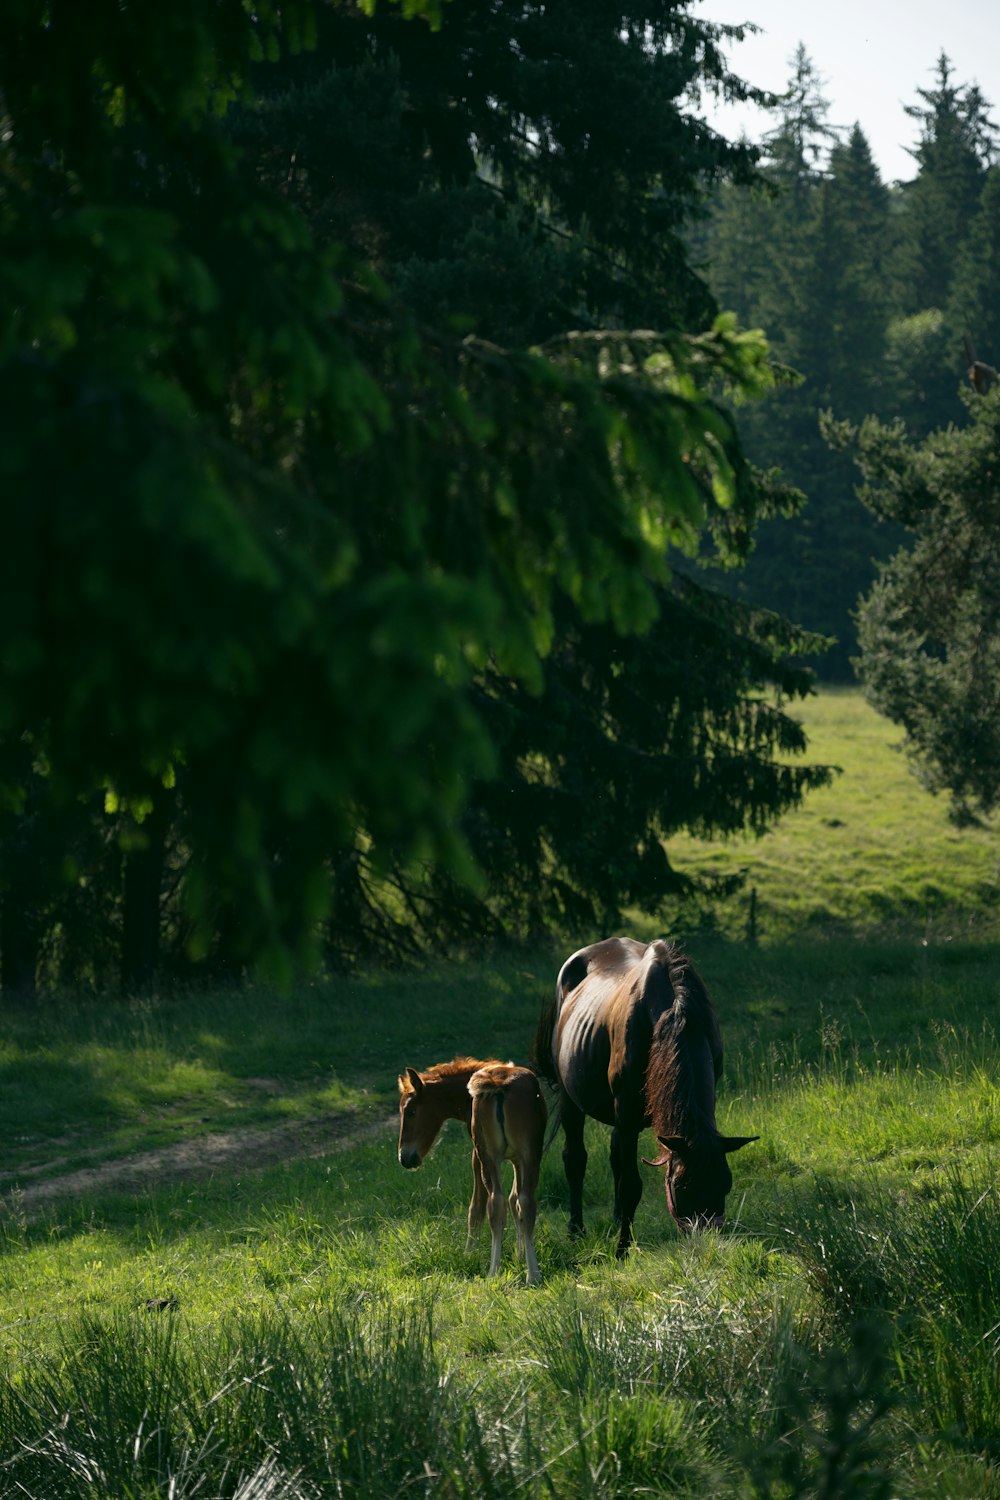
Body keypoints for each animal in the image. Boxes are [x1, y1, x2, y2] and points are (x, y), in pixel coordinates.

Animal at [395, 1056, 548, 1290]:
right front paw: (518, 1256)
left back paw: (501, 1272)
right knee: (519, 1202)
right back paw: (530, 1274)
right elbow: (512, 1201)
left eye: (410, 1111)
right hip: (526, 1155)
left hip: (495, 1156)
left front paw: (469, 1254)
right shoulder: (516, 1159)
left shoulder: (478, 1155)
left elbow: (478, 1207)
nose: (405, 1158)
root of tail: (497, 1084)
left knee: (498, 1203)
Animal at [536, 936, 755, 1254]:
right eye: (681, 1187)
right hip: (570, 1100)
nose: (705, 1240)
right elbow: (630, 1185)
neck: (673, 1016)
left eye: (725, 1184)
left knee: (614, 1153)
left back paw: (616, 1219)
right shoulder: (626, 1115)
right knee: (575, 1159)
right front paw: (622, 1249)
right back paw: (576, 1230)